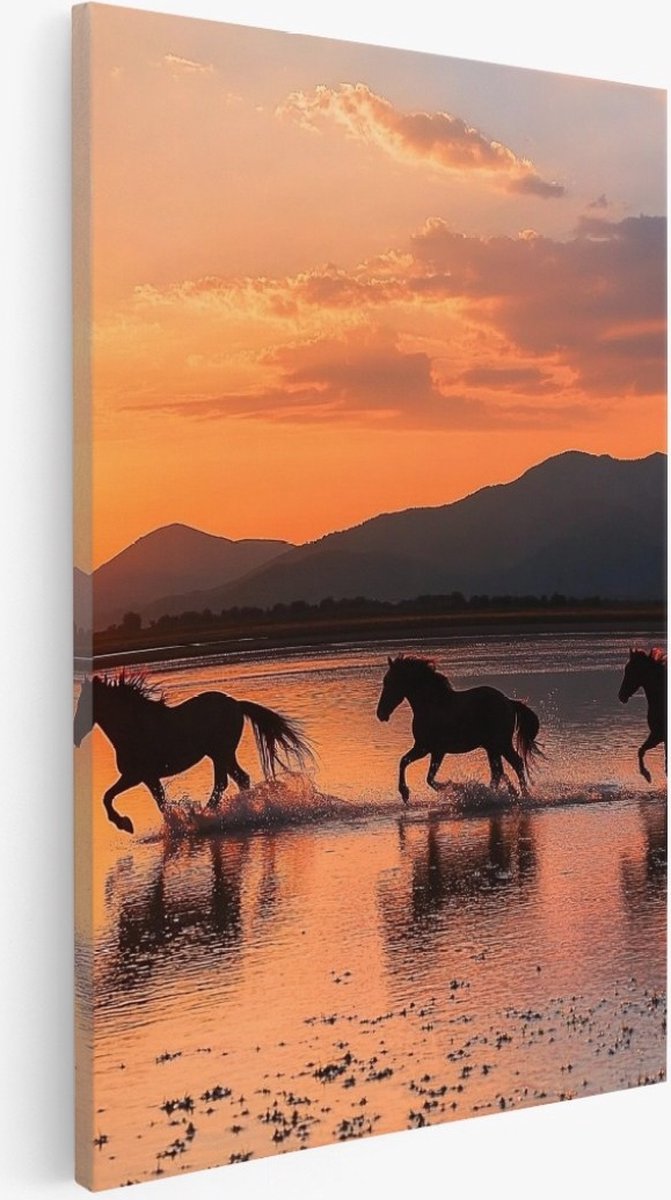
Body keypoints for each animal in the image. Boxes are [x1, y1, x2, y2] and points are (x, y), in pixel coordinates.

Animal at [73, 672, 313, 834]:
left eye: (84, 703)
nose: (75, 736)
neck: (134, 729)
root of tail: (236, 704)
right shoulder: (148, 778)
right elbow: (159, 802)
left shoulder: (136, 776)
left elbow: (108, 797)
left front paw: (125, 823)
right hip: (223, 755)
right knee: (240, 779)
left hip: (220, 753)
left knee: (223, 783)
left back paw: (205, 816)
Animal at [375, 655, 542, 804]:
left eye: (389, 682)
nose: (381, 713)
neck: (432, 705)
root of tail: (509, 701)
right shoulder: (426, 748)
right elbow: (407, 764)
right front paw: (405, 794)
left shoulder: (432, 749)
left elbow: (427, 777)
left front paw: (453, 787)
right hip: (492, 747)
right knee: (500, 770)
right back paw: (505, 793)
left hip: (501, 743)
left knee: (514, 764)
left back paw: (518, 795)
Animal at [618, 647, 667, 783]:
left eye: (629, 670)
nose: (621, 696)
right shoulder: (659, 736)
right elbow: (641, 751)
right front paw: (647, 775)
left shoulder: (657, 735)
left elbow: (641, 751)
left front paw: (646, 774)